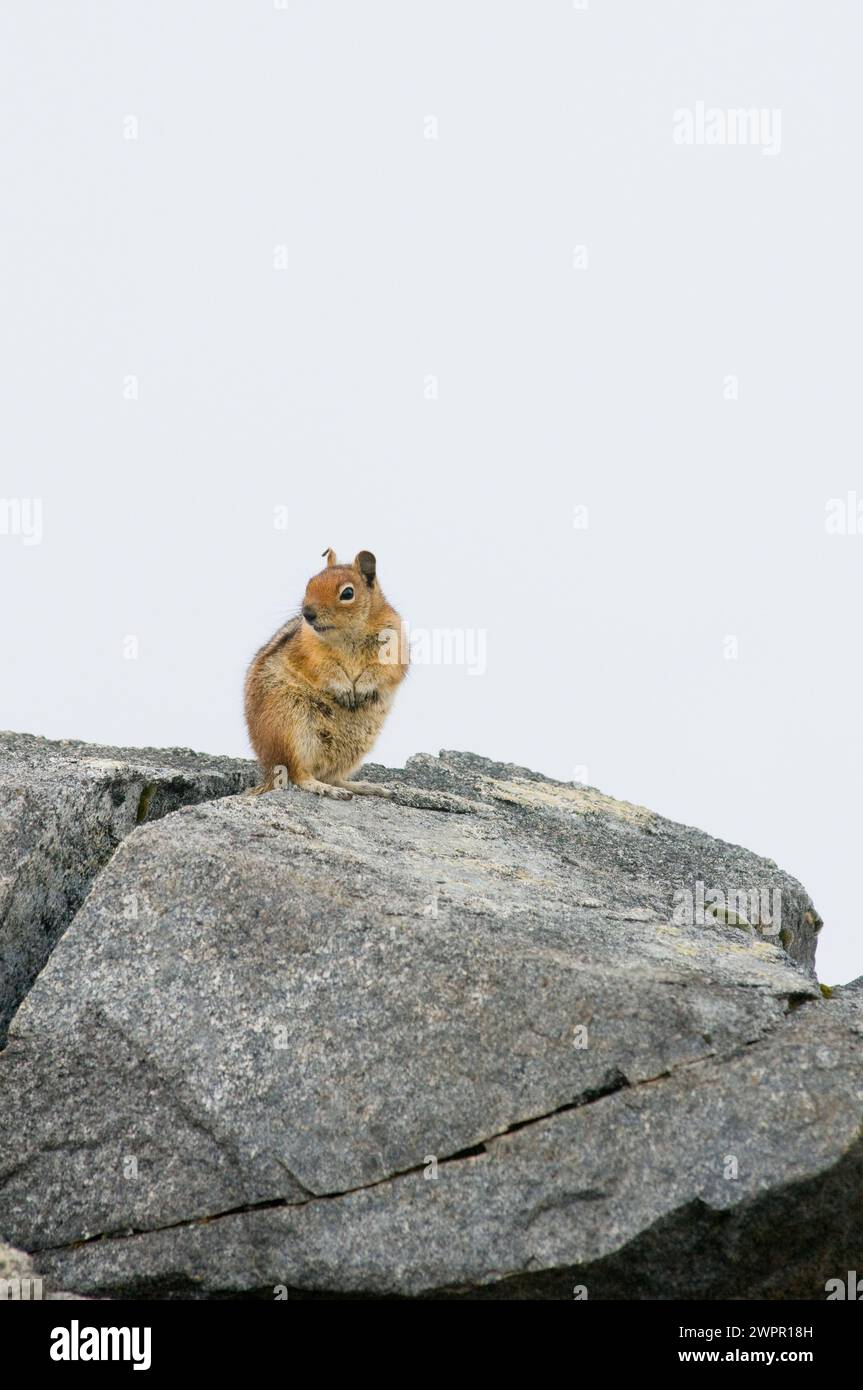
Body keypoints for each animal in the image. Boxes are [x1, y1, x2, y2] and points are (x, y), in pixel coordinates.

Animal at [240, 547, 405, 800]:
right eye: (310, 583)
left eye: (347, 593)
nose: (307, 613)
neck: (348, 636)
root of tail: (268, 773)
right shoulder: (309, 653)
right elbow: (326, 670)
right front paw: (345, 690)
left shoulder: (394, 646)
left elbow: (384, 671)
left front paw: (363, 688)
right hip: (291, 730)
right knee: (298, 775)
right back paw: (324, 788)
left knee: (330, 775)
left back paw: (363, 787)